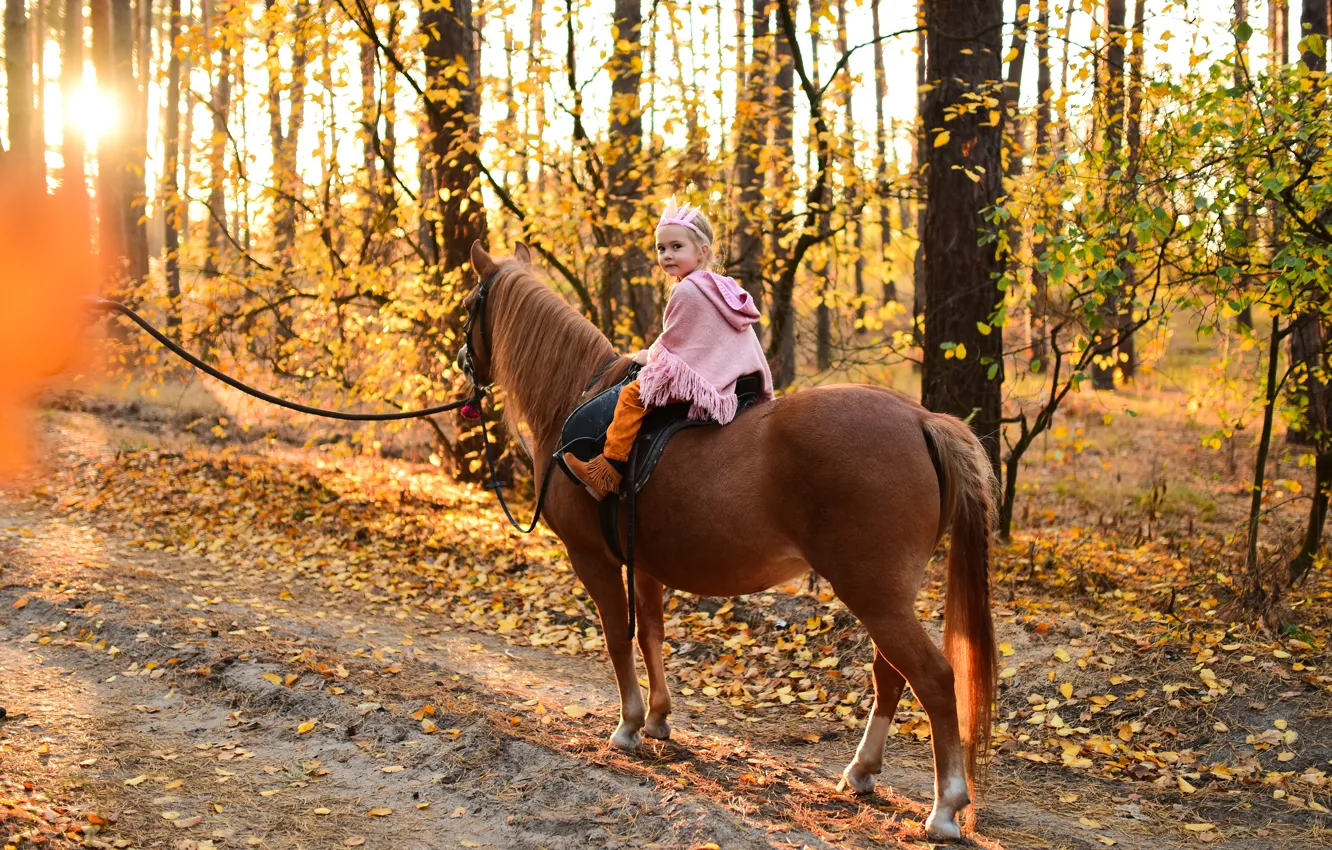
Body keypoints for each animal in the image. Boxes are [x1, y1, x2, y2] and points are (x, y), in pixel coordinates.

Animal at [460, 241, 998, 842]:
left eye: (468, 305)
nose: (461, 363)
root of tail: (922, 419)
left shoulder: (592, 557)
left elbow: (618, 638)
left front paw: (628, 725)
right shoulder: (643, 563)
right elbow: (651, 635)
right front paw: (658, 719)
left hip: (874, 594)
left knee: (934, 678)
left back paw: (945, 808)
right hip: (888, 596)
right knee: (891, 675)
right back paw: (861, 771)